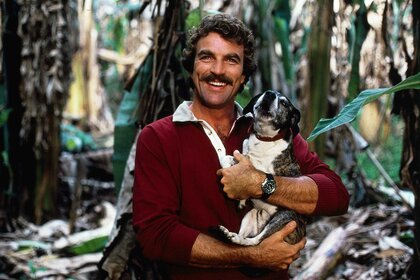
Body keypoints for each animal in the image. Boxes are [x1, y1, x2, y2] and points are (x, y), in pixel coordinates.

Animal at [220, 89, 306, 247]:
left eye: (284, 103)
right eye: (263, 93)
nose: (270, 93)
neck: (264, 138)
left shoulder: (262, 168)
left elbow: (247, 160)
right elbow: (228, 157)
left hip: (285, 216)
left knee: (256, 241)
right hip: (251, 215)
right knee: (243, 240)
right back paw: (230, 235)